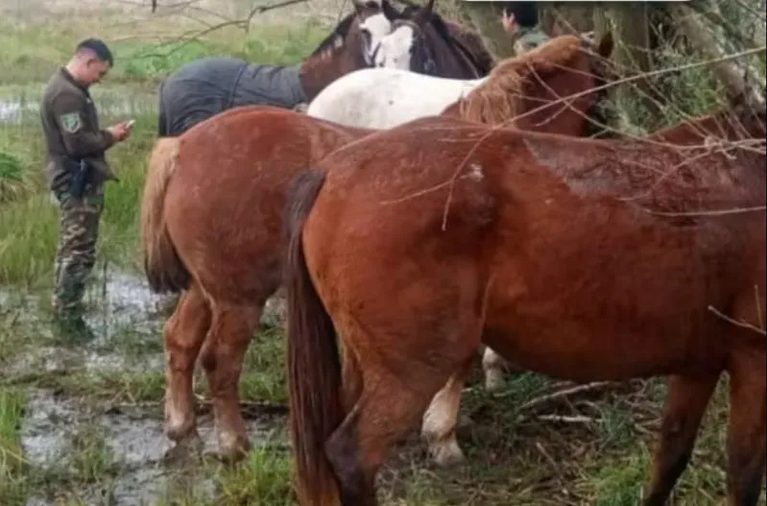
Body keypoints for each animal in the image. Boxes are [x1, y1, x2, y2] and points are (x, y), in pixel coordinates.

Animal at [284, 107, 766, 505]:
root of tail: (332, 168)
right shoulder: (752, 362)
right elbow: (743, 475)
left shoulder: (699, 365)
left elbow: (669, 460)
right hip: (411, 374)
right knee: (352, 457)